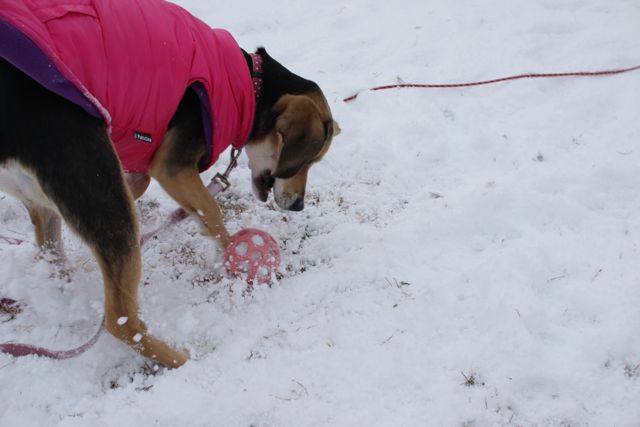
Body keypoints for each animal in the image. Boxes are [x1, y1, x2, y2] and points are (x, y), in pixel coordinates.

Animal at [0, 0, 340, 368]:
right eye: (308, 160)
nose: (299, 206)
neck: (252, 83)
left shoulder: (144, 166)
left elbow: (143, 183)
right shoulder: (172, 168)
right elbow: (211, 210)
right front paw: (232, 253)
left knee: (53, 258)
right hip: (98, 187)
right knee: (120, 321)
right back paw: (181, 358)